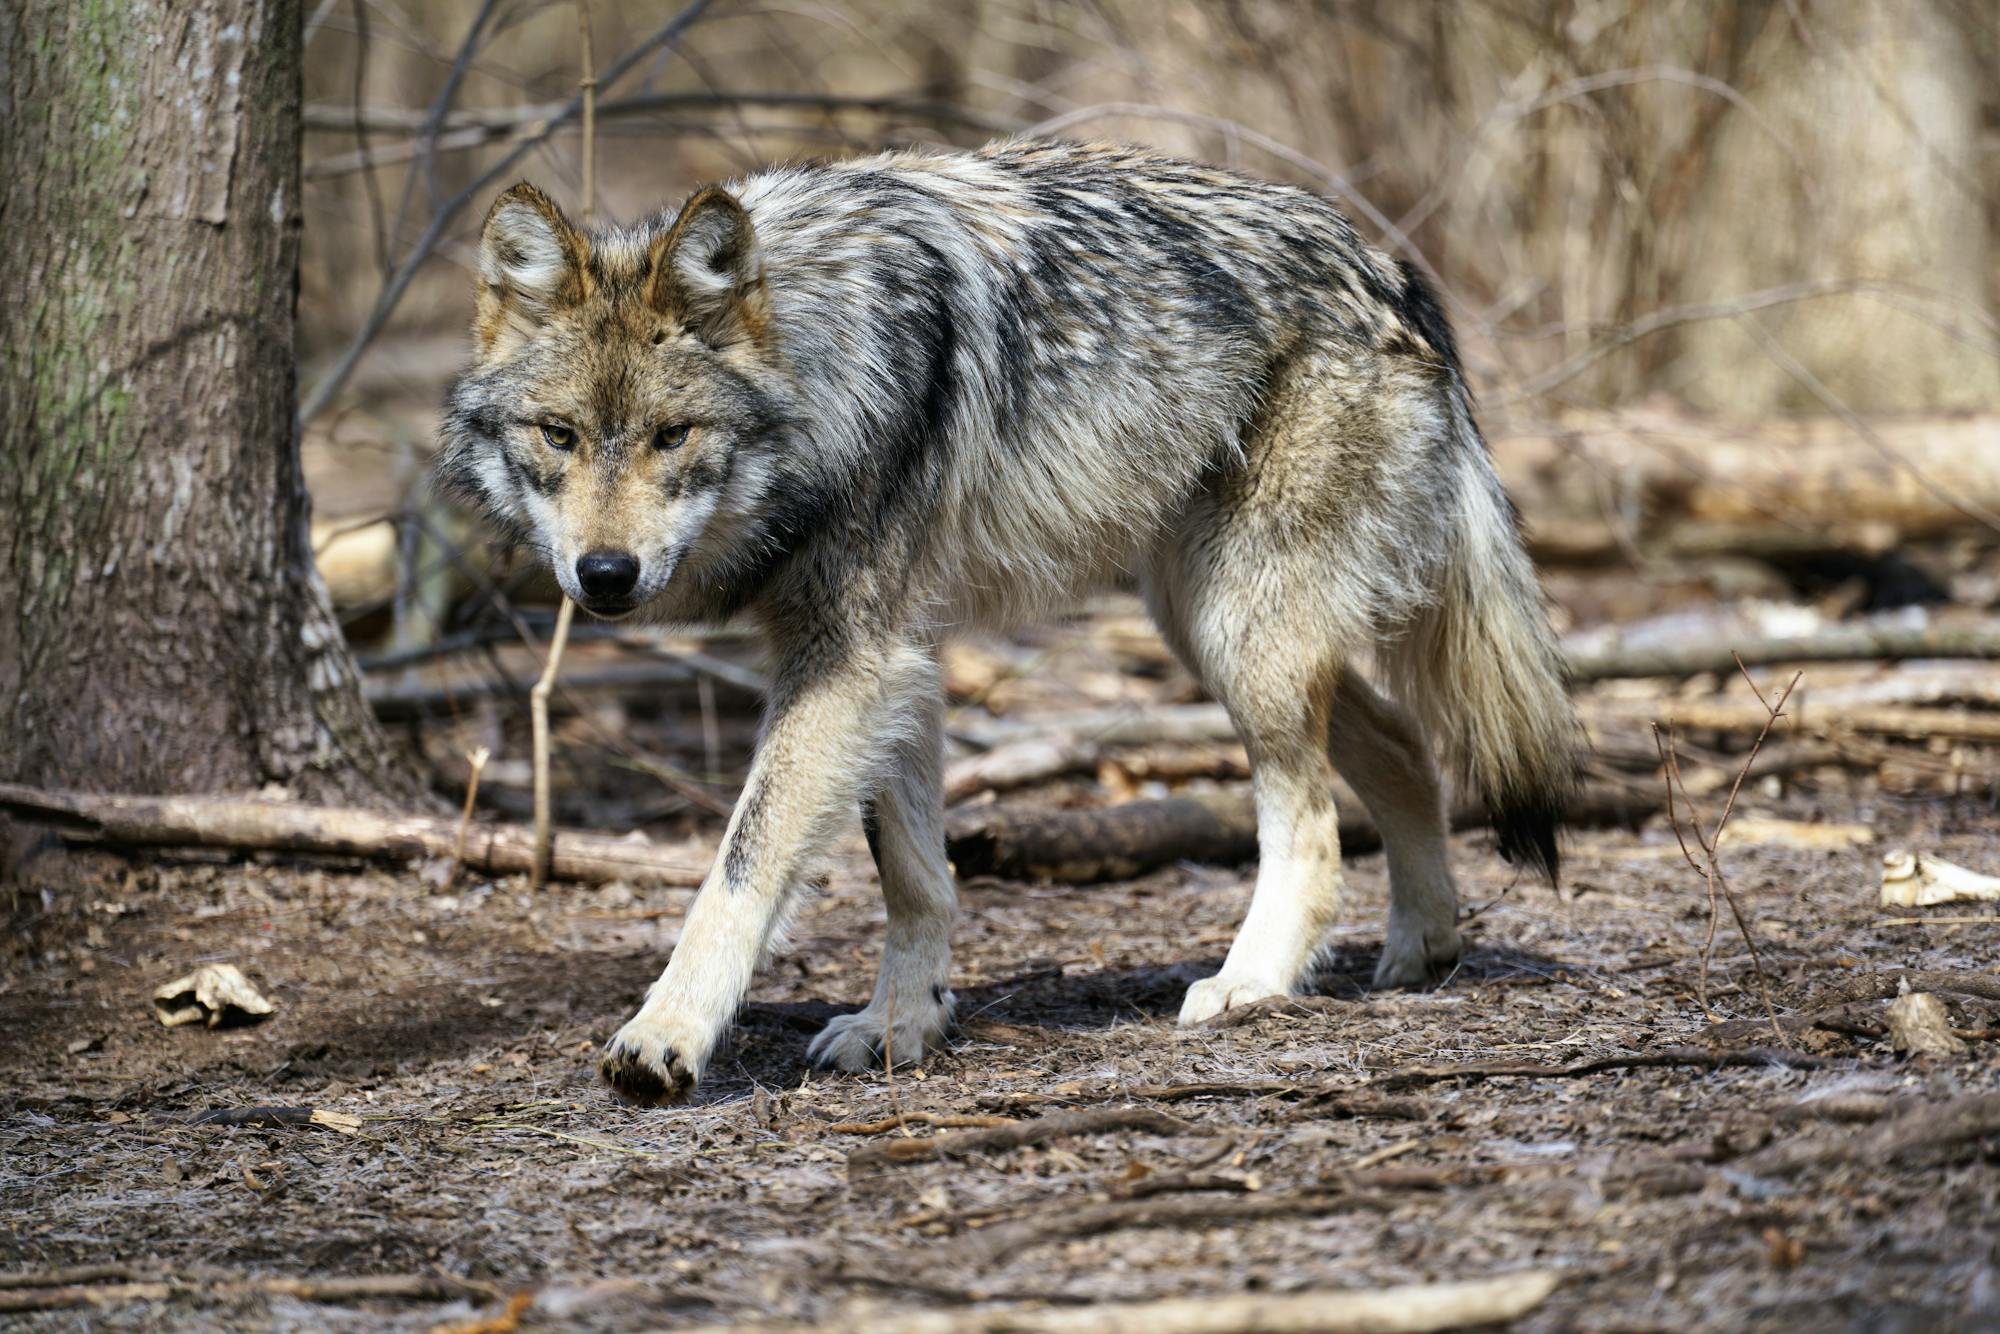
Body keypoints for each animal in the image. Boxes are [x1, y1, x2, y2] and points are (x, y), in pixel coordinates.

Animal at [438, 138, 1576, 1104]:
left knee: (1311, 826)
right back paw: (1421, 950)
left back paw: (1249, 983)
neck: (824, 357)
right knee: (1406, 747)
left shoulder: (851, 660)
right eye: (559, 434)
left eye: (672, 436)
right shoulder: (887, 660)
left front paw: (665, 1033)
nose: (604, 574)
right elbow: (913, 874)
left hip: (1240, 634)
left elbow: (742, 864)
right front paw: (902, 1026)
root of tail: (1389, 267)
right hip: (1205, 623)